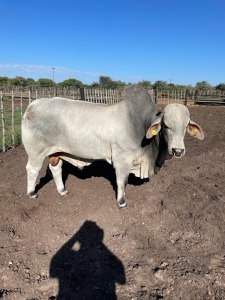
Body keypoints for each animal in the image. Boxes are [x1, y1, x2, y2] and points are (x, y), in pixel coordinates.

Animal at [22, 84, 204, 206]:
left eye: (186, 126)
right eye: (166, 125)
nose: (178, 150)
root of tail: (33, 105)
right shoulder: (121, 159)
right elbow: (121, 181)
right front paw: (121, 201)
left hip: (56, 152)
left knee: (56, 168)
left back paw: (62, 190)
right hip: (36, 152)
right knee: (32, 169)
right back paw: (31, 193)